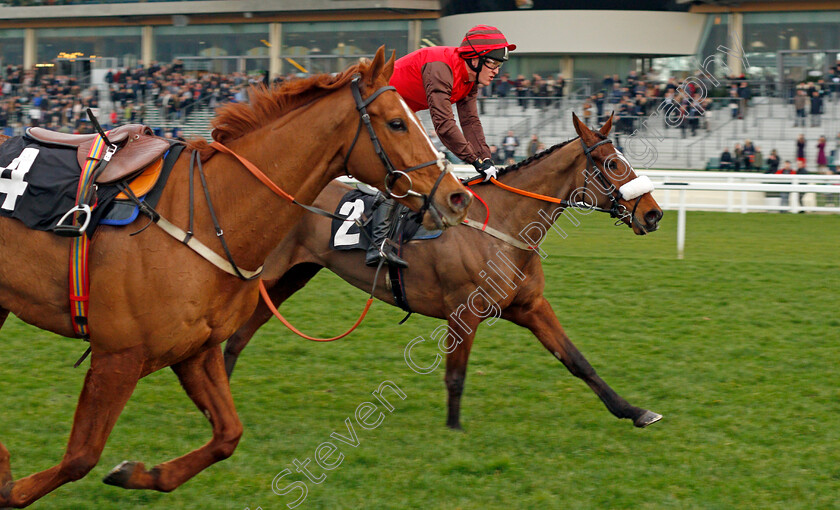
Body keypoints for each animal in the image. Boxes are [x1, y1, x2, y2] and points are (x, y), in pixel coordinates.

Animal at [0, 46, 470, 506]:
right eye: (397, 123)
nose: (457, 196)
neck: (212, 214)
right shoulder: (118, 355)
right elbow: (80, 456)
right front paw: (11, 487)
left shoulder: (195, 351)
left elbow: (228, 435)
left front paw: (142, 473)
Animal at [221, 112, 664, 430]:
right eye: (612, 164)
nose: (654, 214)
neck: (504, 228)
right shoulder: (463, 311)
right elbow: (456, 375)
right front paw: (453, 430)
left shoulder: (531, 306)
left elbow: (577, 360)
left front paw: (635, 411)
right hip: (266, 275)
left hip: (292, 277)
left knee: (238, 337)